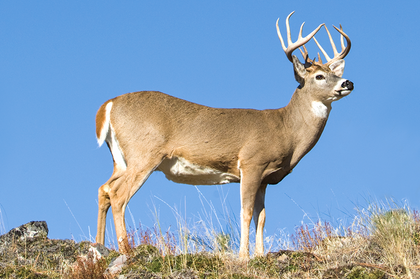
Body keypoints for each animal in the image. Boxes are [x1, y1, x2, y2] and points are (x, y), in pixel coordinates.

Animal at [95, 12, 354, 260]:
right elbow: (246, 212)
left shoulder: (265, 178)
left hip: (120, 159)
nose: (348, 82)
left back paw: (99, 246)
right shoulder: (251, 163)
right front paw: (244, 256)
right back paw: (126, 250)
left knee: (104, 189)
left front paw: (260, 255)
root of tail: (108, 106)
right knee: (118, 195)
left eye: (334, 72)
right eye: (319, 76)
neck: (285, 129)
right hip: (144, 154)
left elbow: (262, 216)